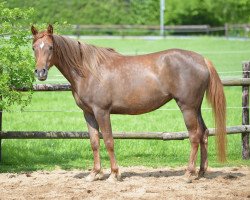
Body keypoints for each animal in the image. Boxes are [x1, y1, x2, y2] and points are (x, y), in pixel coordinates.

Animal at [31, 24, 227, 181]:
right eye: (34, 48)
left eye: (50, 47)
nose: (40, 72)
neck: (89, 71)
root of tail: (202, 60)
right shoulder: (88, 113)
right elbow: (94, 142)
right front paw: (94, 174)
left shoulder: (102, 111)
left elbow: (108, 140)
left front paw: (114, 174)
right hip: (196, 107)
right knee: (204, 133)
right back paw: (200, 172)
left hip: (187, 107)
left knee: (194, 136)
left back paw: (188, 174)